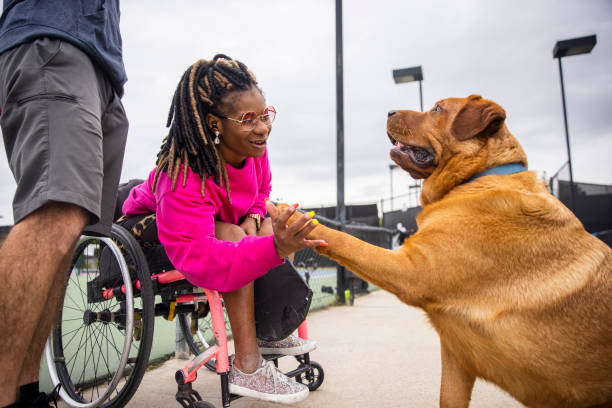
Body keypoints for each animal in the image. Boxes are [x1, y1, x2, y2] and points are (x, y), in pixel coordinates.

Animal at [280, 95, 608, 408]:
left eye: (437, 108)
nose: (389, 111)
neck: (475, 179)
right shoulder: (456, 355)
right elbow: (448, 398)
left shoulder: (412, 270)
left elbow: (347, 240)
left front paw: (287, 214)